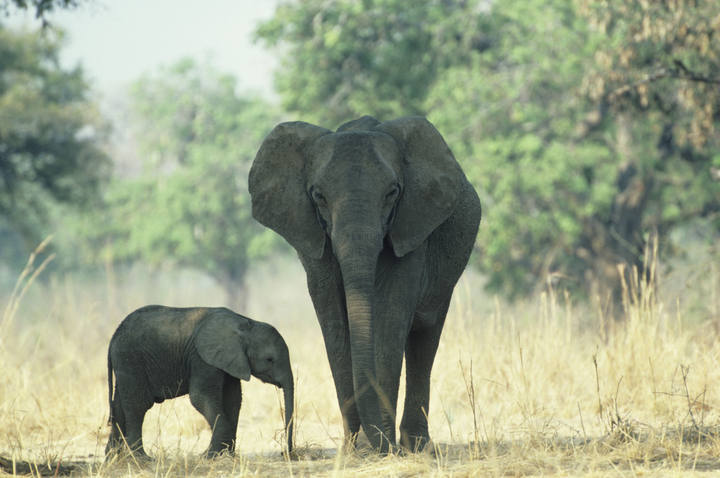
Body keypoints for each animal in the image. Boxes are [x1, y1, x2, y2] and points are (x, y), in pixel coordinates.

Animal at [103, 306, 292, 460]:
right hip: (130, 358)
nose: (285, 453)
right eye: (269, 359)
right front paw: (209, 456)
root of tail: (113, 337)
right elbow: (200, 397)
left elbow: (233, 400)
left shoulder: (230, 360)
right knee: (138, 404)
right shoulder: (203, 358)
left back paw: (113, 457)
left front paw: (226, 455)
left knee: (119, 404)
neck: (245, 324)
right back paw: (141, 458)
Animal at [250, 116, 480, 452]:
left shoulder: (411, 227)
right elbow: (333, 320)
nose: (288, 449)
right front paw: (356, 449)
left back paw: (415, 445)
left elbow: (390, 315)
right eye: (318, 196)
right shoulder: (313, 236)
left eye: (392, 192)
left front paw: (379, 446)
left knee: (425, 338)